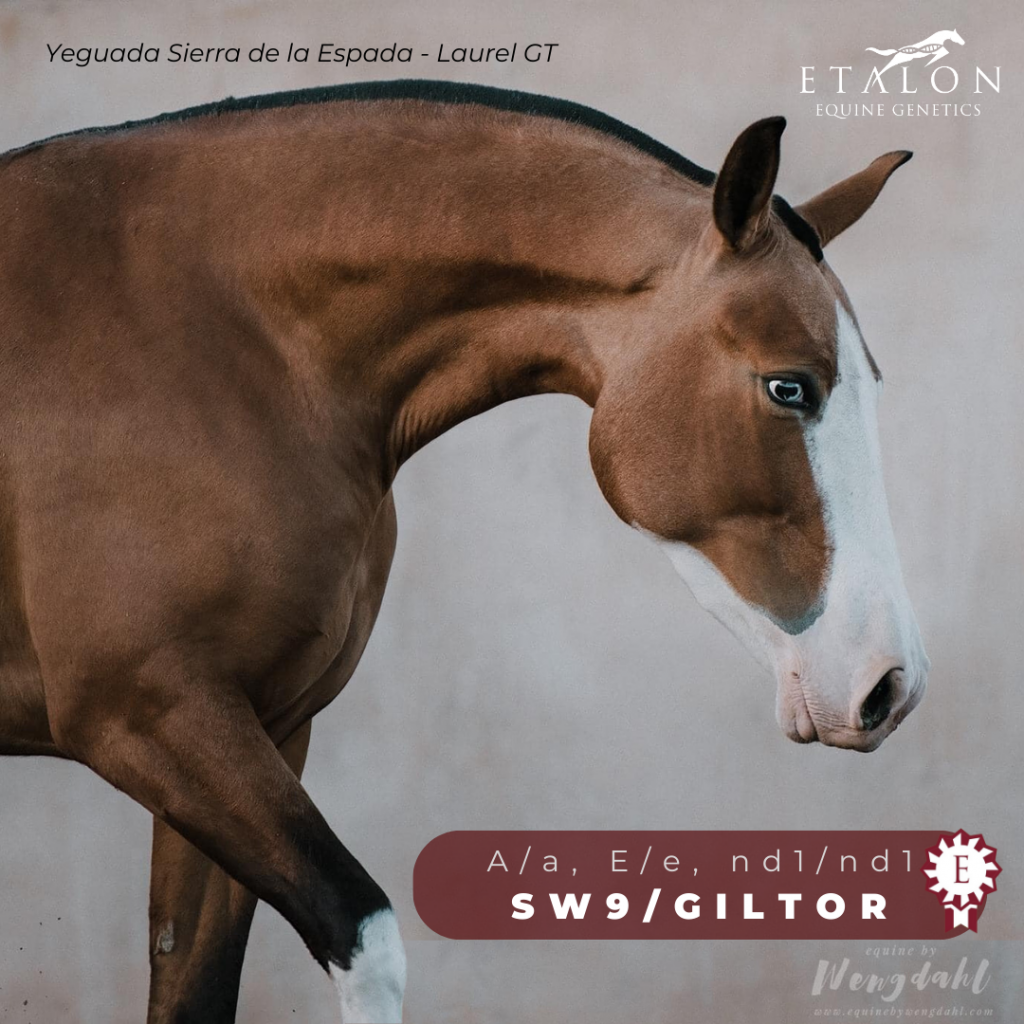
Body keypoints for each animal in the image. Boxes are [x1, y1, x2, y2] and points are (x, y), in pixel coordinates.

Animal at [0, 80, 927, 1022]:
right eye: (789, 387)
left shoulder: (263, 726)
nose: (891, 684)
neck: (226, 344)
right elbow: (364, 934)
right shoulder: (148, 713)